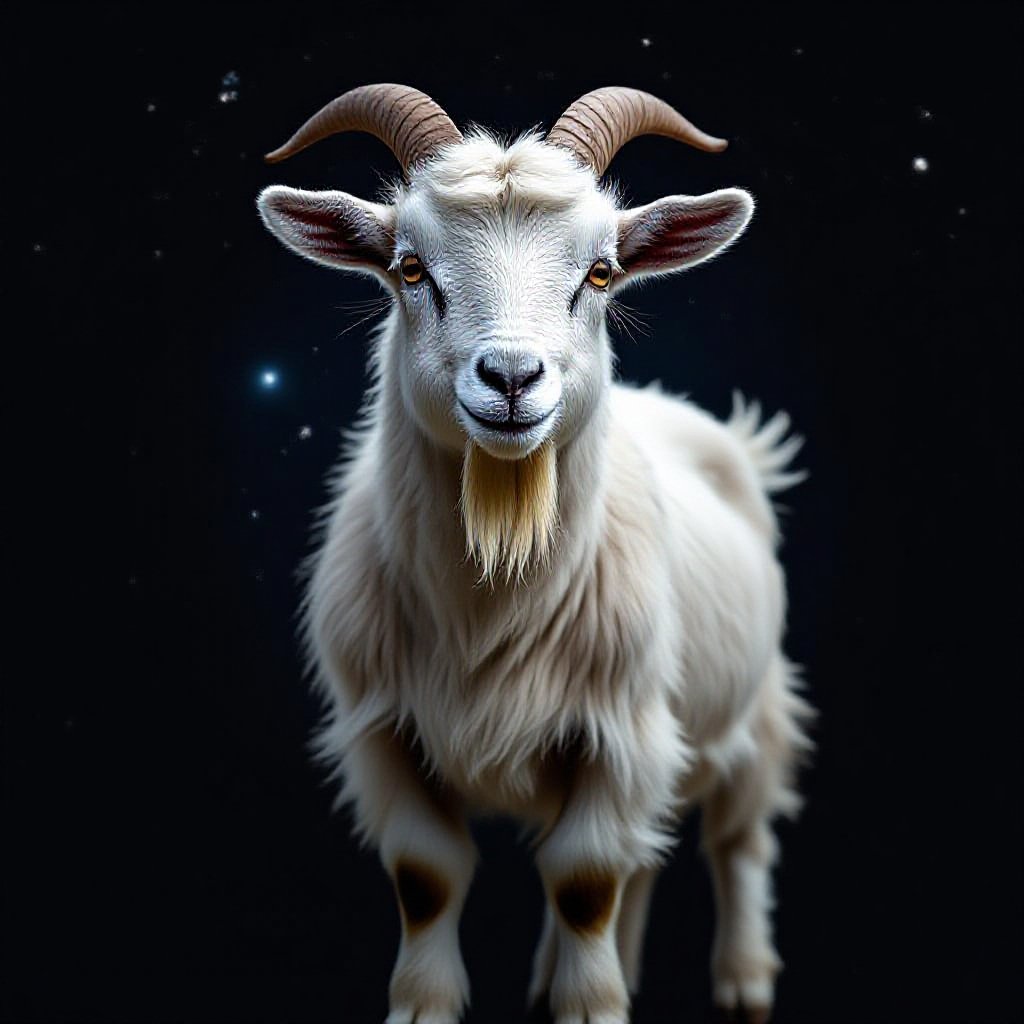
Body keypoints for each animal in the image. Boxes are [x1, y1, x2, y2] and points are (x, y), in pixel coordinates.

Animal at [258, 84, 812, 1024]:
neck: (494, 593)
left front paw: (592, 1007)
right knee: (645, 859)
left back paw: (743, 981)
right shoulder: (383, 731)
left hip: (753, 707)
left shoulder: (620, 730)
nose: (512, 379)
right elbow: (428, 876)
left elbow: (586, 880)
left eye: (600, 272)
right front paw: (426, 1006)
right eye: (411, 268)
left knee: (736, 839)